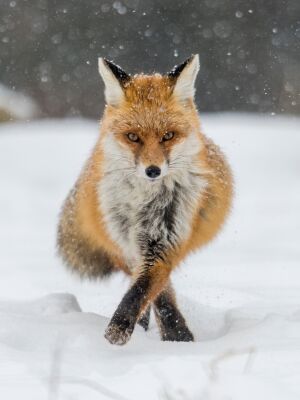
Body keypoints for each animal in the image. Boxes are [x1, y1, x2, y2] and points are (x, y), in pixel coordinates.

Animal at [57, 54, 233, 346]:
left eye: (168, 136)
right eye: (132, 137)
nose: (153, 171)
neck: (144, 204)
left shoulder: (166, 241)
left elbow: (145, 287)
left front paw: (173, 335)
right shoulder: (127, 244)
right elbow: (156, 293)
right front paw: (166, 332)